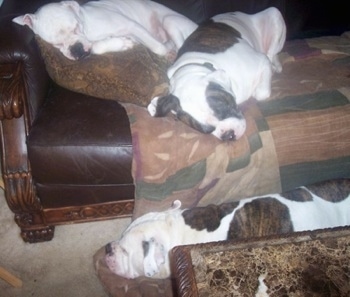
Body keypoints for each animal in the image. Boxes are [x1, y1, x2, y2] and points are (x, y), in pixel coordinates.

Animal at [12, 0, 198, 60]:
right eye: (56, 44)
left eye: (76, 27)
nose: (77, 49)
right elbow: (96, 46)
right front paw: (122, 43)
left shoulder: (131, 25)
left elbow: (157, 47)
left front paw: (164, 53)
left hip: (170, 21)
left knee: (181, 46)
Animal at [146, 7, 286, 140]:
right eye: (208, 130)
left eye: (224, 109)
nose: (228, 135)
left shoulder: (262, 61)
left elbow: (261, 93)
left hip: (274, 14)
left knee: (272, 53)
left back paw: (276, 66)